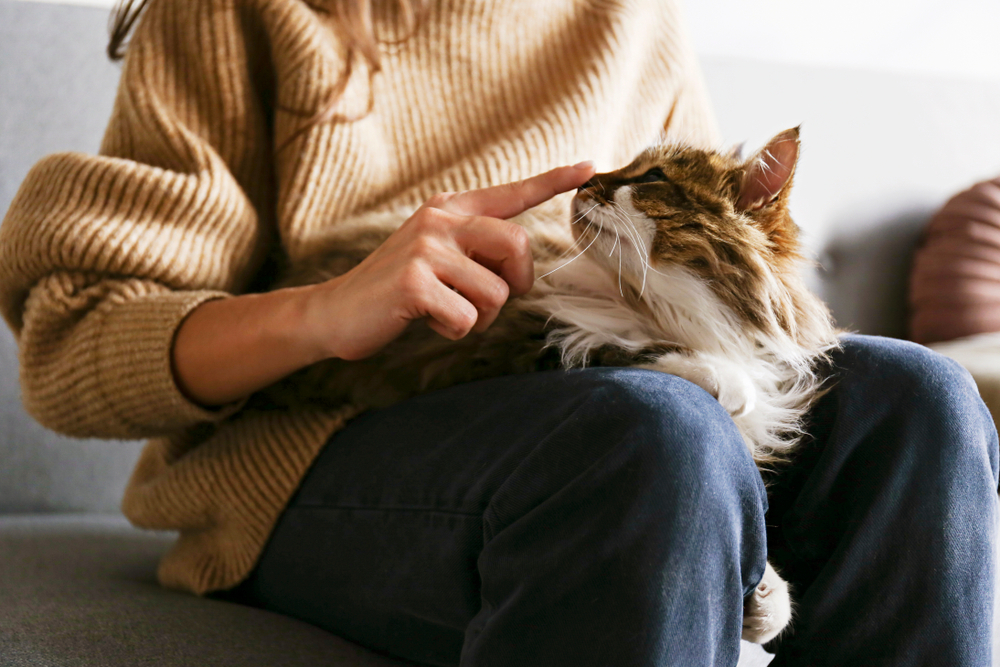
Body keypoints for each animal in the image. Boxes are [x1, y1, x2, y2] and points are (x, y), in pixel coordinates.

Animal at [260, 128, 844, 644]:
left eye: (652, 177)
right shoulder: (525, 342)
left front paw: (767, 601)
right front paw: (725, 378)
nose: (586, 180)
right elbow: (644, 352)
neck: (658, 310)